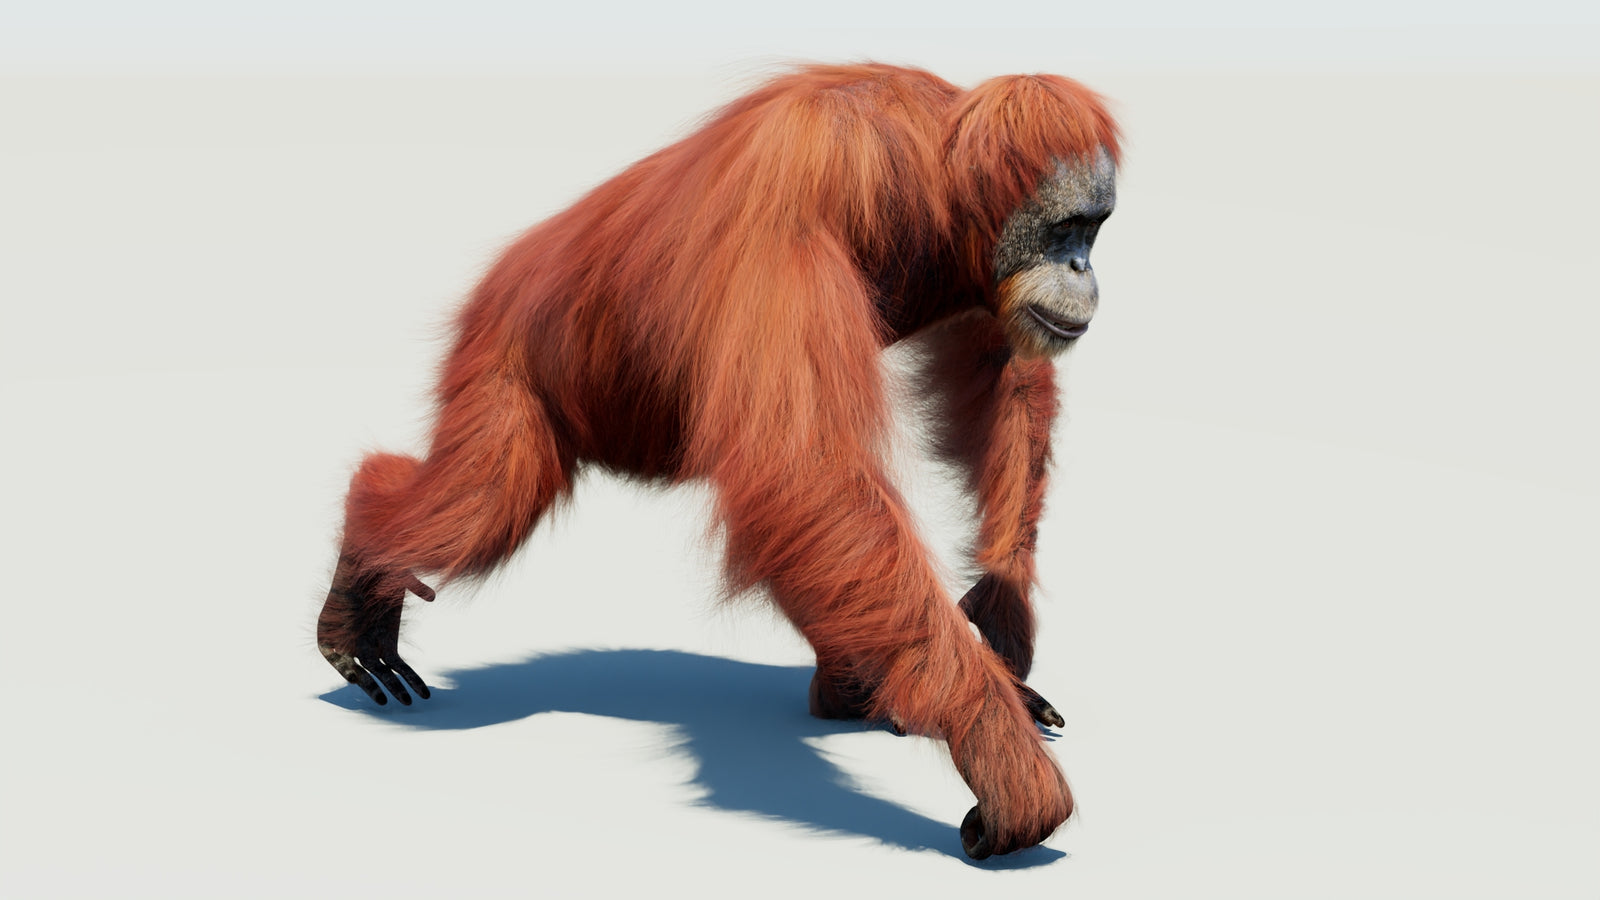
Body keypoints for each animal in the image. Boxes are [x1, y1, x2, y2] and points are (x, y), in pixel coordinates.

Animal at [315, 63, 1118, 859]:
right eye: (1066, 229)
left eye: (1094, 230)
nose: (1083, 268)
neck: (931, 177)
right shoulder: (798, 198)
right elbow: (803, 469)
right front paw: (1001, 755)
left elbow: (1003, 371)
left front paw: (1002, 613)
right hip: (508, 351)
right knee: (485, 501)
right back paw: (363, 564)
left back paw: (855, 688)